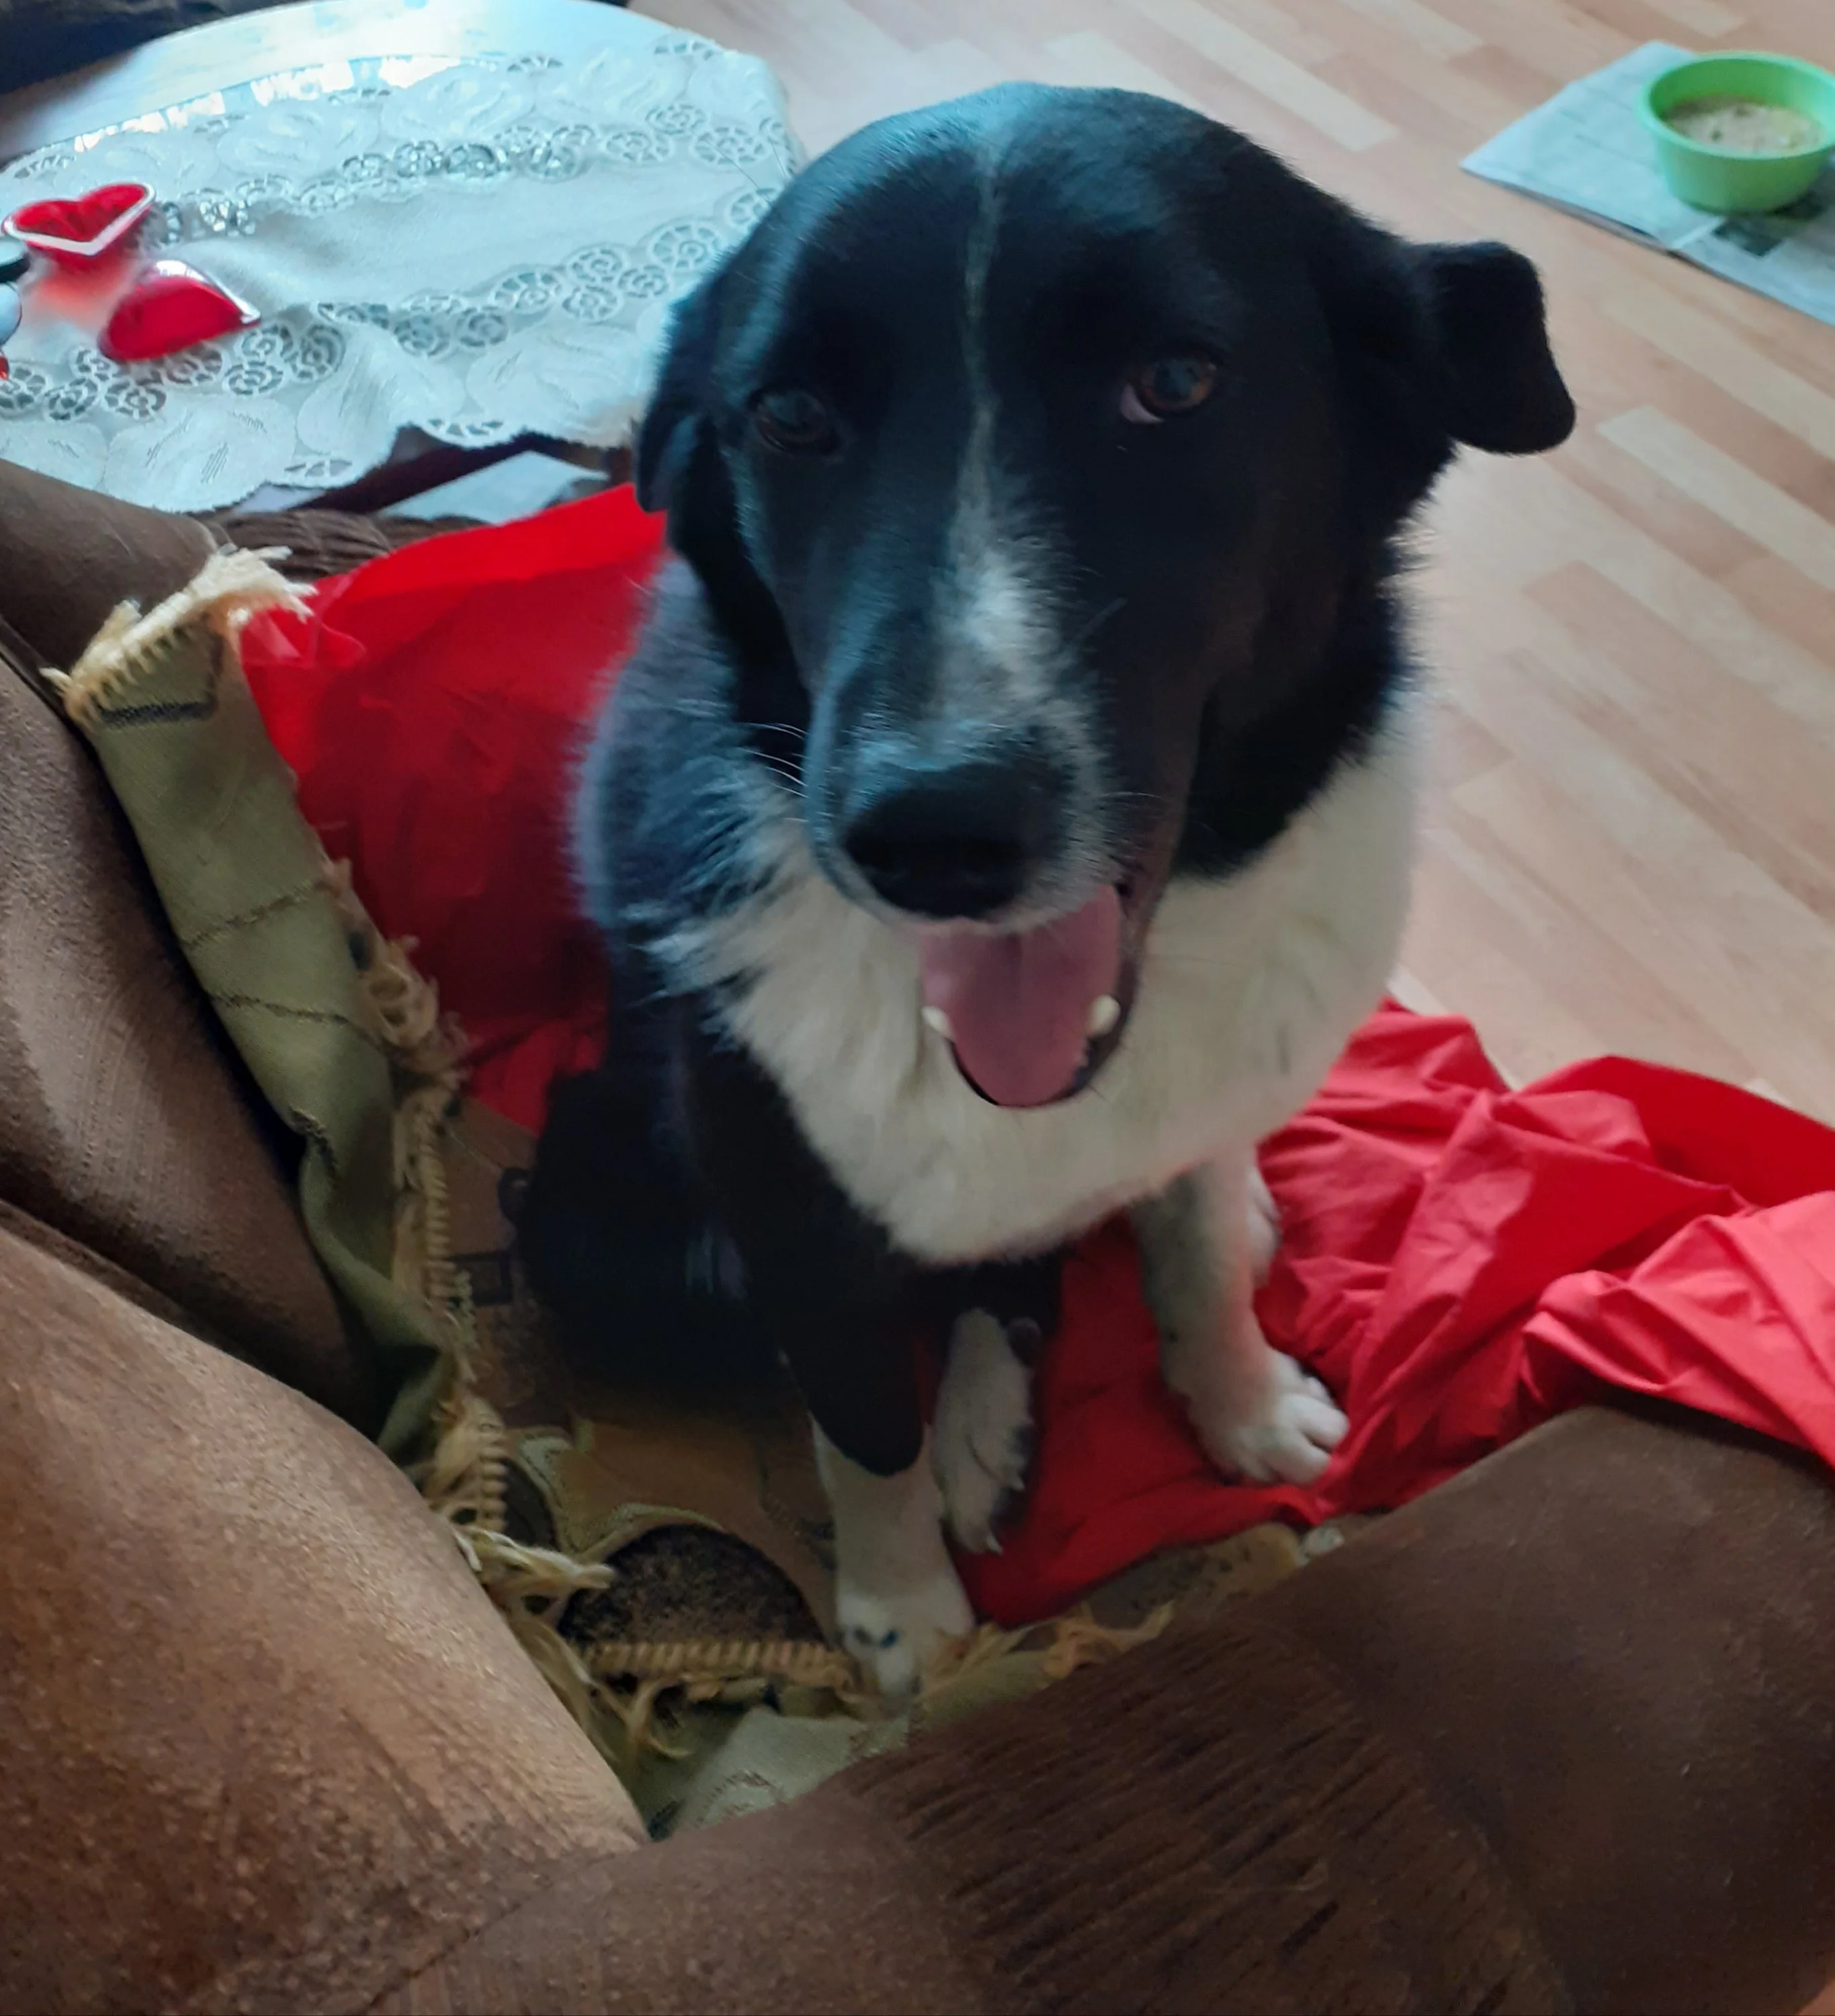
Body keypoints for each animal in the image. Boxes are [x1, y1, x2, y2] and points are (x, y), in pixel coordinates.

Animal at [518, 83, 1574, 1694]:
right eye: (791, 416)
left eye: (1176, 383)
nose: (930, 833)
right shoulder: (781, 1202)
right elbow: (857, 1424)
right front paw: (903, 1608)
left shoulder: (1185, 1118)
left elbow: (1192, 1264)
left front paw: (1241, 1404)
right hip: (596, 1219)